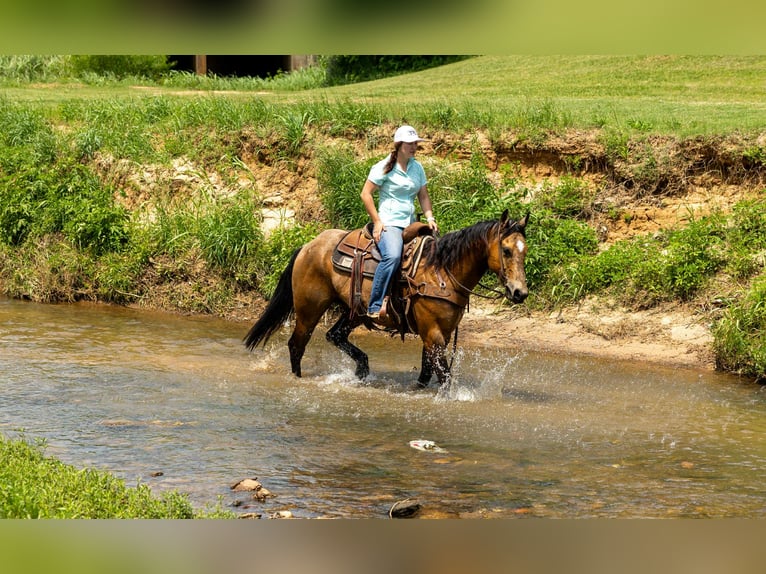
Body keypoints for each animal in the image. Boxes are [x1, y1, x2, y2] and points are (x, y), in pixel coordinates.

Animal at [244, 209, 529, 392]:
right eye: (506, 250)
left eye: (524, 251)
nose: (520, 292)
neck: (441, 272)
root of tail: (307, 246)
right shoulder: (433, 335)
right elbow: (444, 378)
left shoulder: (439, 336)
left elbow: (426, 374)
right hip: (309, 309)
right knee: (297, 345)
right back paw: (299, 378)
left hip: (354, 312)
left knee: (334, 335)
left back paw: (362, 369)